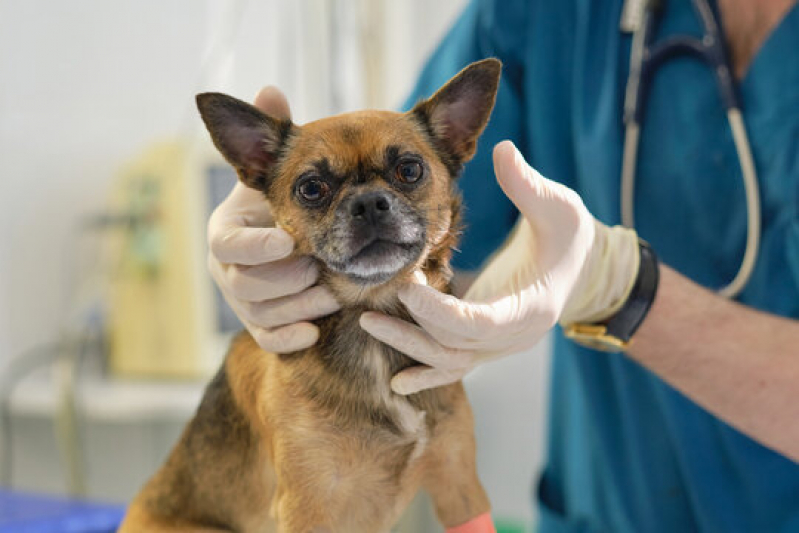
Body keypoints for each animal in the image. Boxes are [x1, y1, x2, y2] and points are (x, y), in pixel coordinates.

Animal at [120, 58, 500, 532]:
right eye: (312, 188)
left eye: (410, 170)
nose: (368, 203)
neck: (369, 323)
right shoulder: (309, 505)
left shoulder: (459, 482)